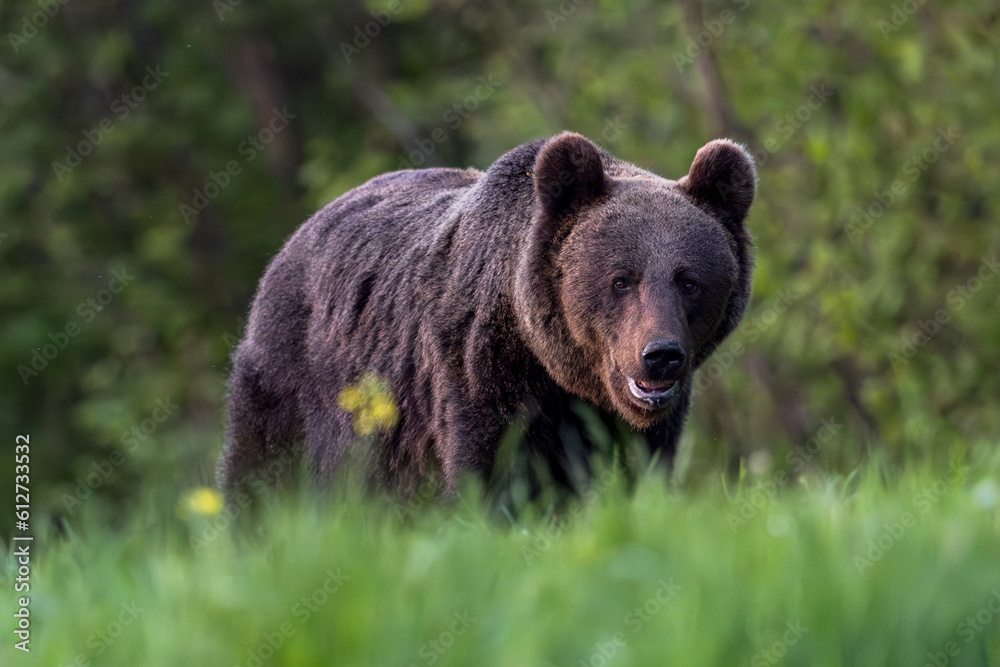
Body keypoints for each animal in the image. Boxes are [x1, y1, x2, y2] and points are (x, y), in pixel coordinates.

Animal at [215, 132, 752, 500]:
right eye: (622, 280)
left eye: (689, 281)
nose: (660, 355)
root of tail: (295, 239)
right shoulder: (477, 367)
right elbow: (491, 471)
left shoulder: (645, 421)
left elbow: (637, 470)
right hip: (298, 381)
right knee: (263, 469)